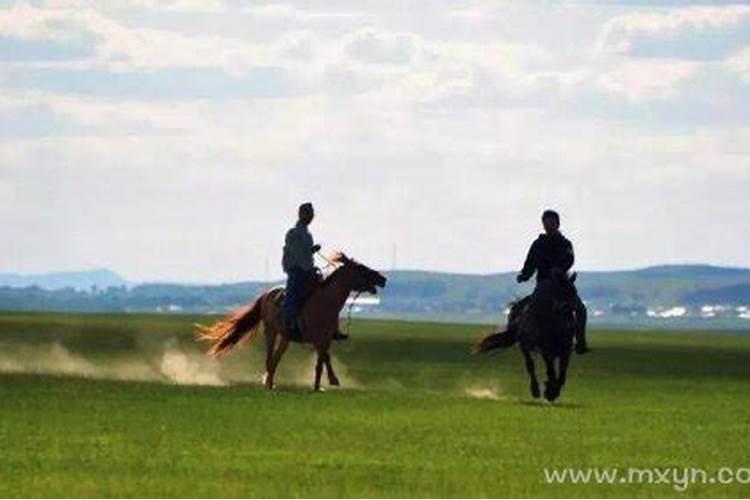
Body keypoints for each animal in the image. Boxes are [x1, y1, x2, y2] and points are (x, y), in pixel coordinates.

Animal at [195, 256, 388, 392]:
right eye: (361, 268)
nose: (383, 278)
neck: (326, 302)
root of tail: (266, 294)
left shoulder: (325, 339)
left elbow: (323, 360)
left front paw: (320, 385)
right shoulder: (317, 339)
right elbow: (323, 359)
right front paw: (329, 382)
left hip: (285, 337)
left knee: (276, 357)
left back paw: (271, 381)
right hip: (270, 331)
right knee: (270, 357)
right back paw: (269, 383)